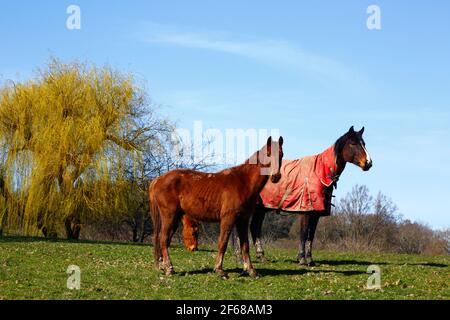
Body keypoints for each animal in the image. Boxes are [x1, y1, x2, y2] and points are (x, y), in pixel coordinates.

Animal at [149, 135, 284, 278]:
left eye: (281, 154)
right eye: (268, 154)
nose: (276, 176)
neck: (243, 183)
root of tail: (157, 180)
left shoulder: (243, 220)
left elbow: (245, 245)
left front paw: (251, 271)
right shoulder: (227, 219)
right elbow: (223, 242)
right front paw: (220, 270)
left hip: (174, 218)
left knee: (165, 240)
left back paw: (164, 266)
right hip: (169, 216)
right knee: (163, 240)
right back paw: (169, 268)